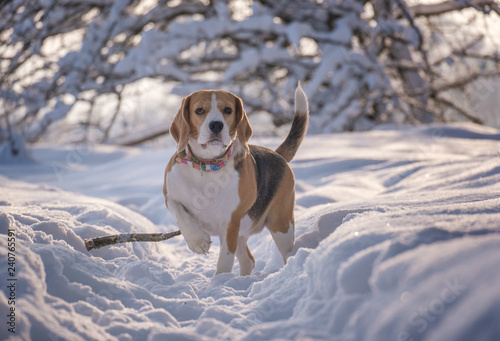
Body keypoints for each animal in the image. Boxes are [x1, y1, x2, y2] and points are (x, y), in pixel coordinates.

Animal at [163, 83, 308, 274]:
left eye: (228, 110)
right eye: (199, 110)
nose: (216, 125)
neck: (207, 166)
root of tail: (277, 154)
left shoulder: (230, 223)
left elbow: (224, 262)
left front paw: (219, 281)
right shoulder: (170, 195)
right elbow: (179, 213)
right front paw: (198, 241)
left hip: (281, 225)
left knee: (286, 253)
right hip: (245, 231)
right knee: (249, 261)